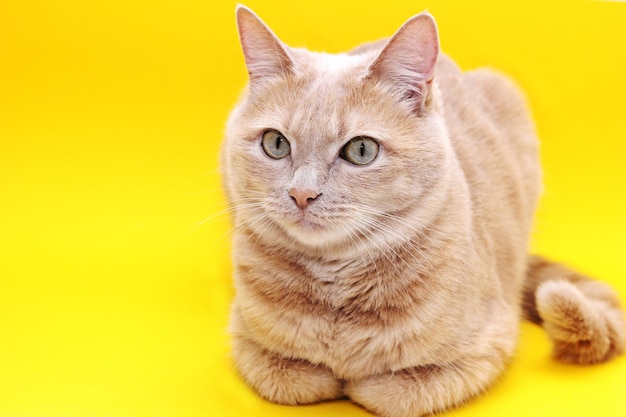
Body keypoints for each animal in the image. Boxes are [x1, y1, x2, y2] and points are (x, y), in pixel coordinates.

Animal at [219, 6, 620, 416]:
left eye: (361, 150)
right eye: (276, 143)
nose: (302, 194)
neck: (335, 288)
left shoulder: (483, 349)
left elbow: (391, 392)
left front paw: (356, 382)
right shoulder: (247, 339)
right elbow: (295, 378)